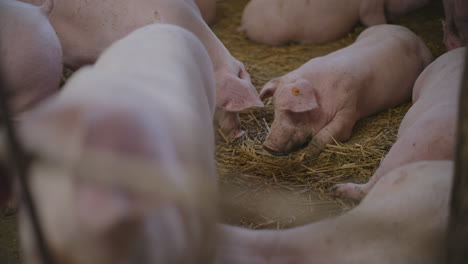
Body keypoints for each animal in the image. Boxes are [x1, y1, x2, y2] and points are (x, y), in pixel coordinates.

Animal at [260, 24, 432, 157]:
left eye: (292, 112)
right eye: (275, 111)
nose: (268, 146)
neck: (320, 95)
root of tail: (409, 31)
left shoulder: (348, 108)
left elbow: (327, 134)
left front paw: (306, 156)